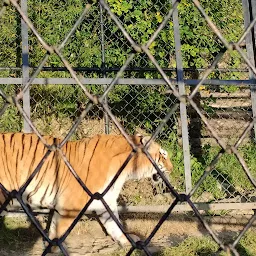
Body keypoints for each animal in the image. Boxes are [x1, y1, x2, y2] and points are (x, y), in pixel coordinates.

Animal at [0, 132, 173, 250]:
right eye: (163, 155)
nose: (172, 169)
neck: (126, 170)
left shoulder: (105, 199)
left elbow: (114, 225)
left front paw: (125, 241)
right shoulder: (70, 203)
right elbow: (59, 232)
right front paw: (54, 249)